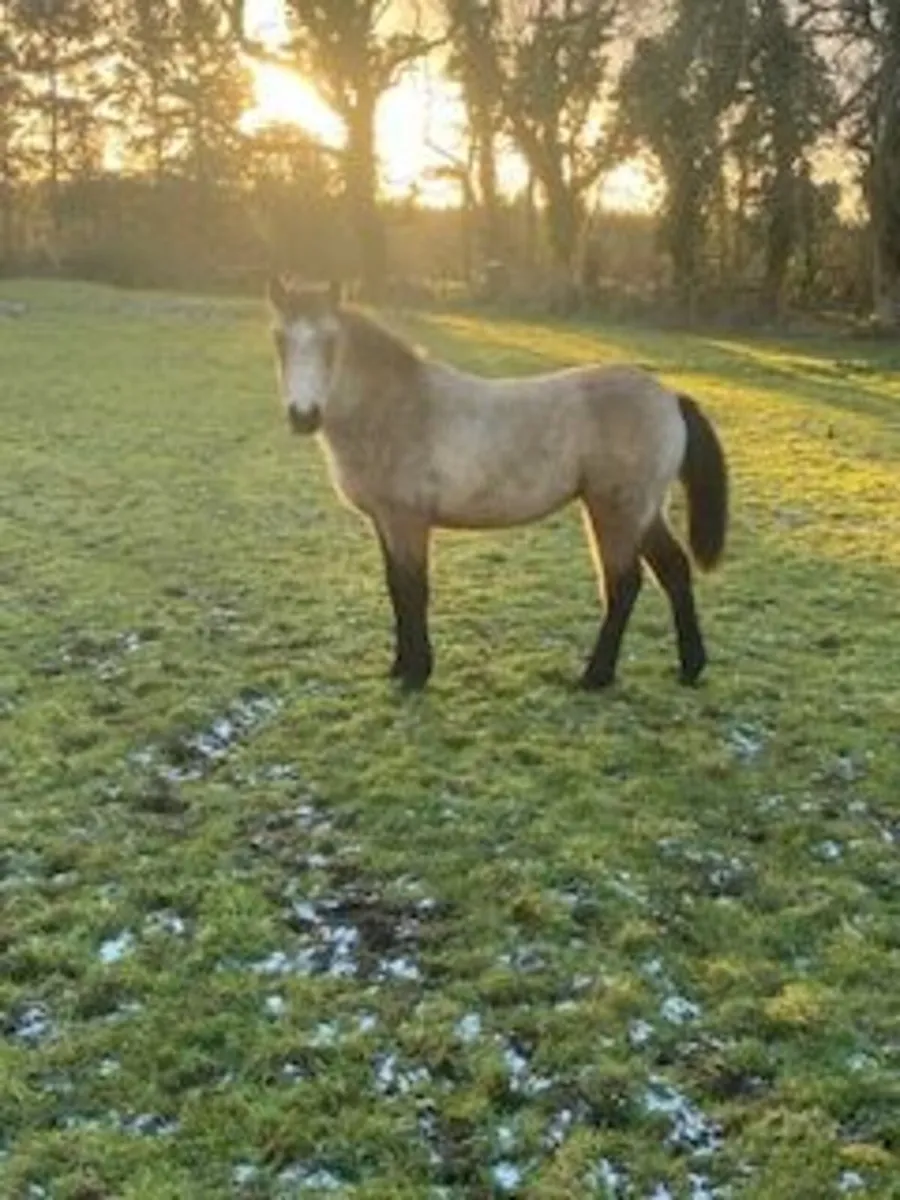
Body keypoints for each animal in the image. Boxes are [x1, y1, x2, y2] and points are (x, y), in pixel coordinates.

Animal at [266, 277, 728, 692]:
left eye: (331, 342)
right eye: (280, 341)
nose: (303, 415)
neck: (394, 409)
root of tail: (669, 397)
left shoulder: (408, 520)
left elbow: (414, 589)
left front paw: (417, 674)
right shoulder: (384, 521)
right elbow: (396, 587)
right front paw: (398, 667)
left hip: (615, 511)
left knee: (623, 584)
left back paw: (595, 677)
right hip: (645, 512)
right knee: (674, 571)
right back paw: (690, 668)